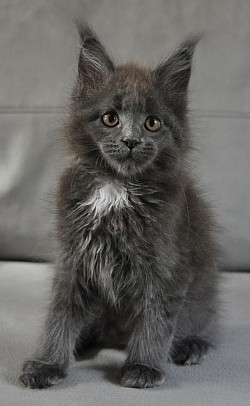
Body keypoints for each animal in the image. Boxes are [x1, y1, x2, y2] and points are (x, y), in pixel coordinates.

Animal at [19, 23, 220, 390]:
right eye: (110, 118)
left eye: (152, 123)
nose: (130, 141)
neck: (117, 188)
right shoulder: (73, 258)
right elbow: (59, 314)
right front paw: (47, 363)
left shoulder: (166, 266)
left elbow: (156, 318)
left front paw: (143, 366)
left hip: (201, 296)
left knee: (202, 324)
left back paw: (190, 346)